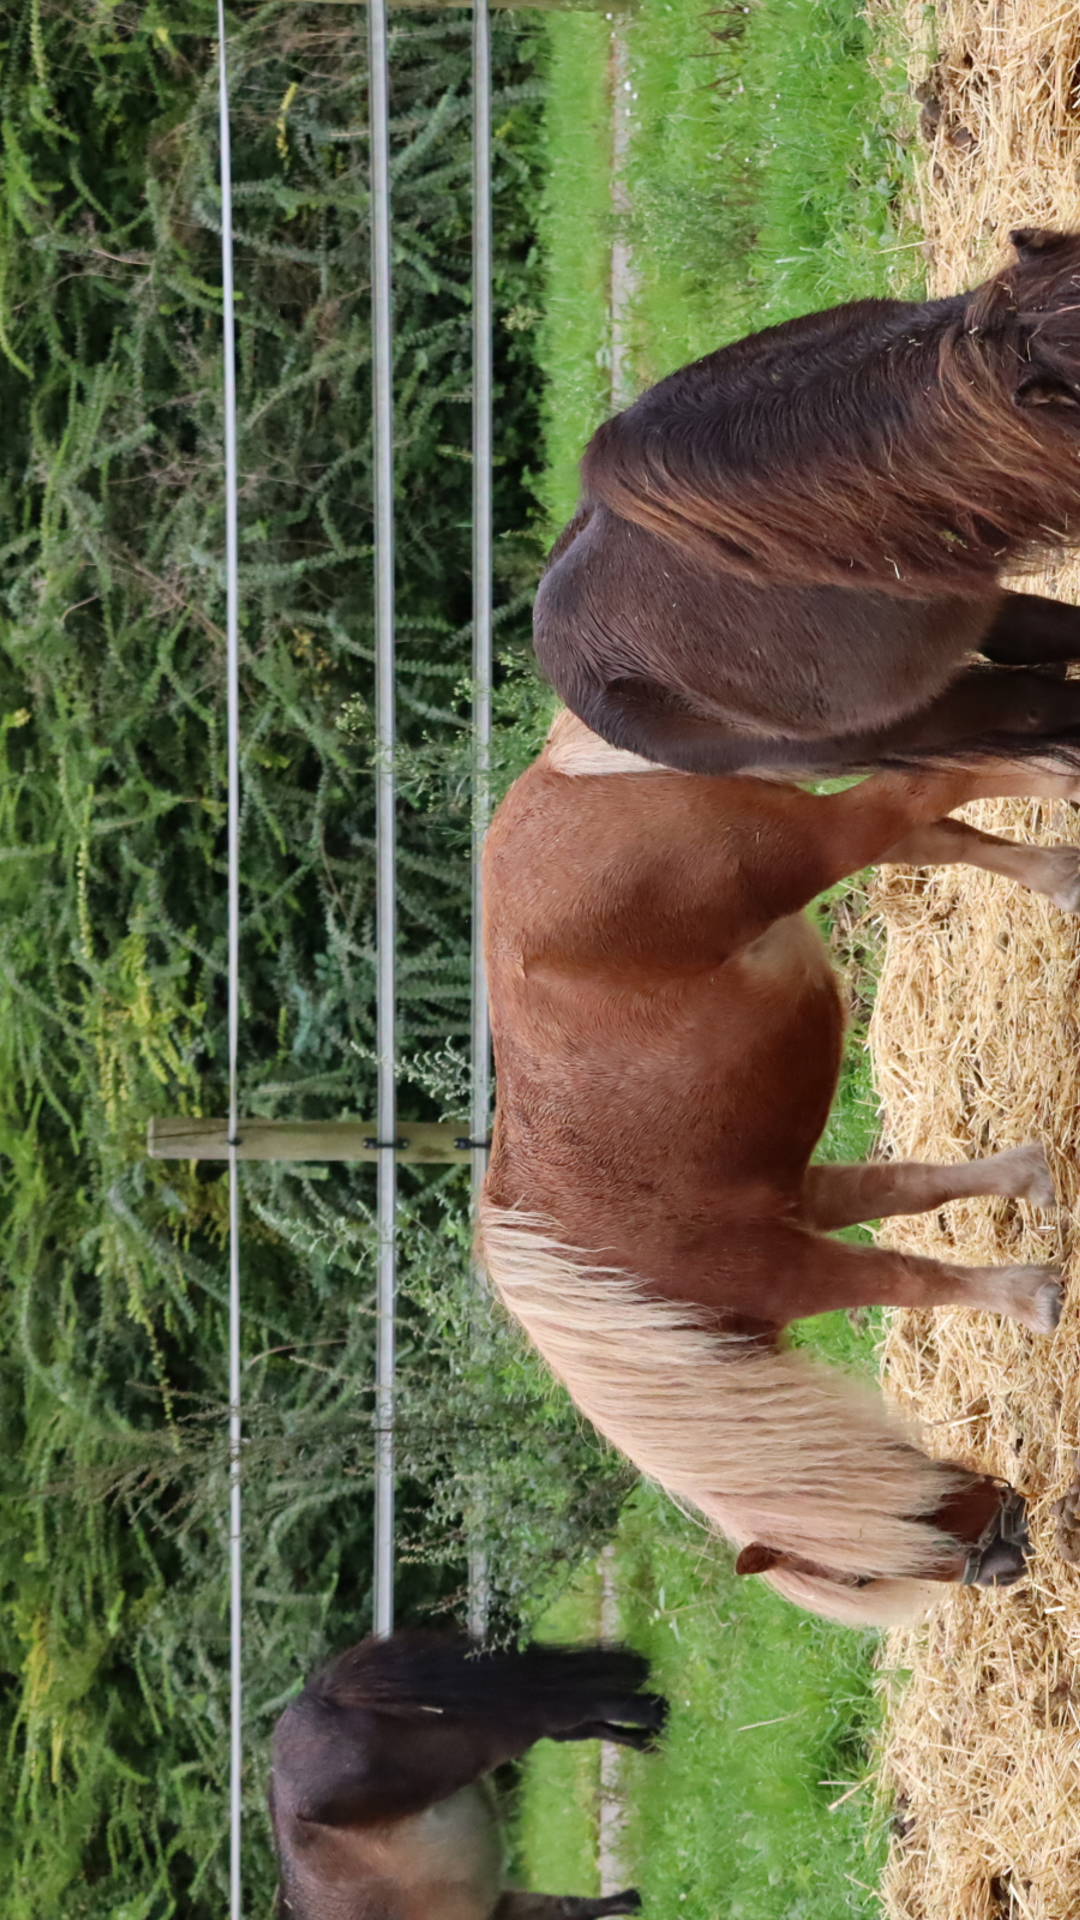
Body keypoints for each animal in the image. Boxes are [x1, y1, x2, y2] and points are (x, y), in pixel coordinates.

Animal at [270, 1629, 665, 1919]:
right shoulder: (500, 1909)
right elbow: (571, 1907)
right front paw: (637, 1899)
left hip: (481, 1742)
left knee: (571, 1709)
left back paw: (655, 1712)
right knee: (578, 1719)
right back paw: (650, 1738)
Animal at [477, 712, 1080, 1628]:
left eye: (856, 1578)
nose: (1008, 1560)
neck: (638, 1305)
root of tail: (558, 775)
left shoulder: (790, 1268)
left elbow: (907, 1277)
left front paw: (1031, 1298)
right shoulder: (800, 1198)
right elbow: (913, 1190)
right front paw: (1029, 1179)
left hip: (807, 845)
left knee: (927, 787)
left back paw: (1059, 774)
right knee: (929, 827)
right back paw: (1060, 874)